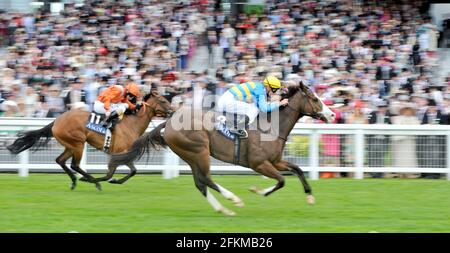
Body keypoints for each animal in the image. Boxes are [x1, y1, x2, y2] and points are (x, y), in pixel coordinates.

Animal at [7, 91, 172, 190]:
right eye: (163, 100)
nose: (172, 111)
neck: (131, 124)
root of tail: (56, 121)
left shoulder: (124, 154)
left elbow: (133, 171)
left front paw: (116, 181)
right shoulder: (118, 154)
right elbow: (110, 174)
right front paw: (101, 181)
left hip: (70, 145)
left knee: (60, 160)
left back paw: (75, 181)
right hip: (78, 144)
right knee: (75, 165)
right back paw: (92, 181)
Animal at [109, 82, 334, 215]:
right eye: (315, 99)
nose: (332, 115)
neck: (271, 127)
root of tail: (170, 121)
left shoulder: (275, 161)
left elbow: (297, 170)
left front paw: (310, 196)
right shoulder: (259, 164)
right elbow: (281, 181)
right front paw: (258, 191)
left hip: (190, 155)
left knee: (200, 183)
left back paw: (224, 209)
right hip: (199, 150)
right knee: (206, 179)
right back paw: (233, 199)